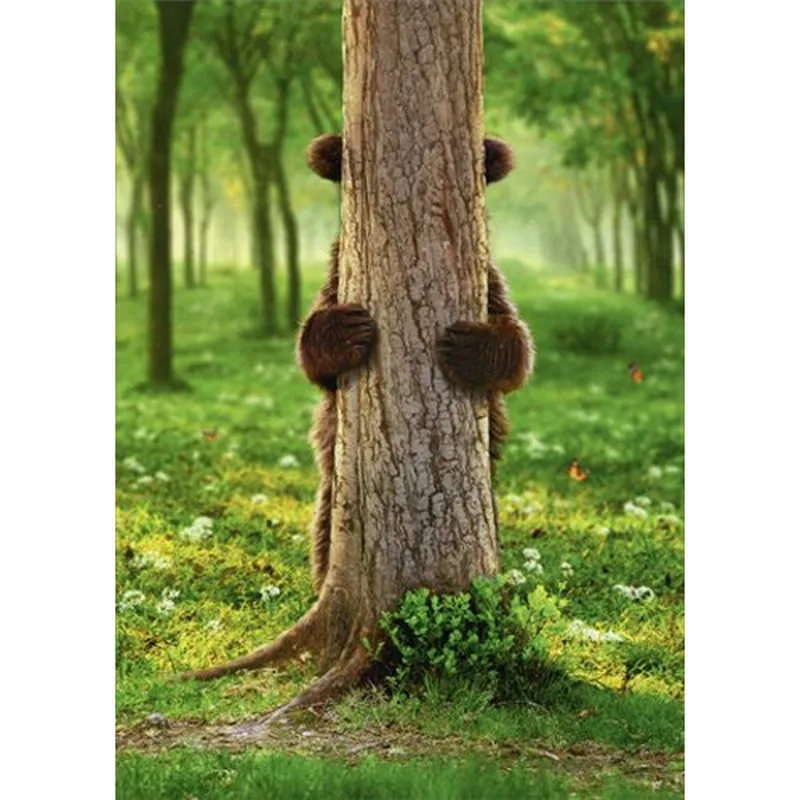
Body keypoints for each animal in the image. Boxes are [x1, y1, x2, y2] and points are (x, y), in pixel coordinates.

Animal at [298, 134, 533, 593]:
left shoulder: (489, 285)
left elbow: (516, 347)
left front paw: (467, 346)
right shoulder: (337, 279)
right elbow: (313, 354)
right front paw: (347, 329)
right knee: (325, 526)